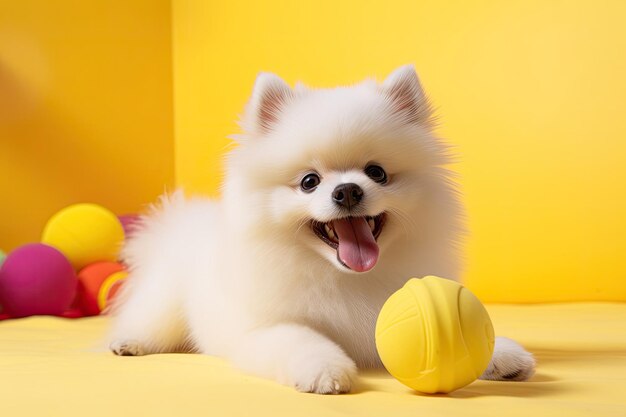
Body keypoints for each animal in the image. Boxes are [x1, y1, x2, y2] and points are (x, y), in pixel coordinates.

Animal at [111, 65, 532, 394]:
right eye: (309, 182)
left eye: (377, 172)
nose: (347, 190)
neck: (345, 277)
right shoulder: (263, 328)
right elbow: (300, 338)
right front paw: (325, 369)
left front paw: (500, 353)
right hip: (165, 302)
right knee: (147, 320)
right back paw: (128, 342)